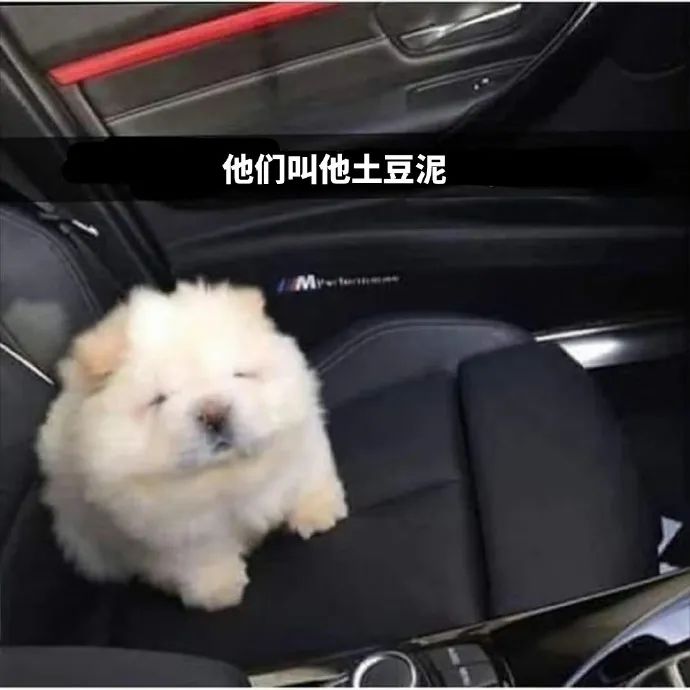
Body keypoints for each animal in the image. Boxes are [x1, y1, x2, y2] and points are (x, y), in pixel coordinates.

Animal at [37, 281, 348, 610]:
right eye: (159, 399)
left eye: (240, 374)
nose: (214, 413)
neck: (227, 475)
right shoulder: (173, 531)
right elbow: (202, 557)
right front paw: (220, 591)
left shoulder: (301, 438)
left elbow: (307, 478)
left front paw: (318, 514)